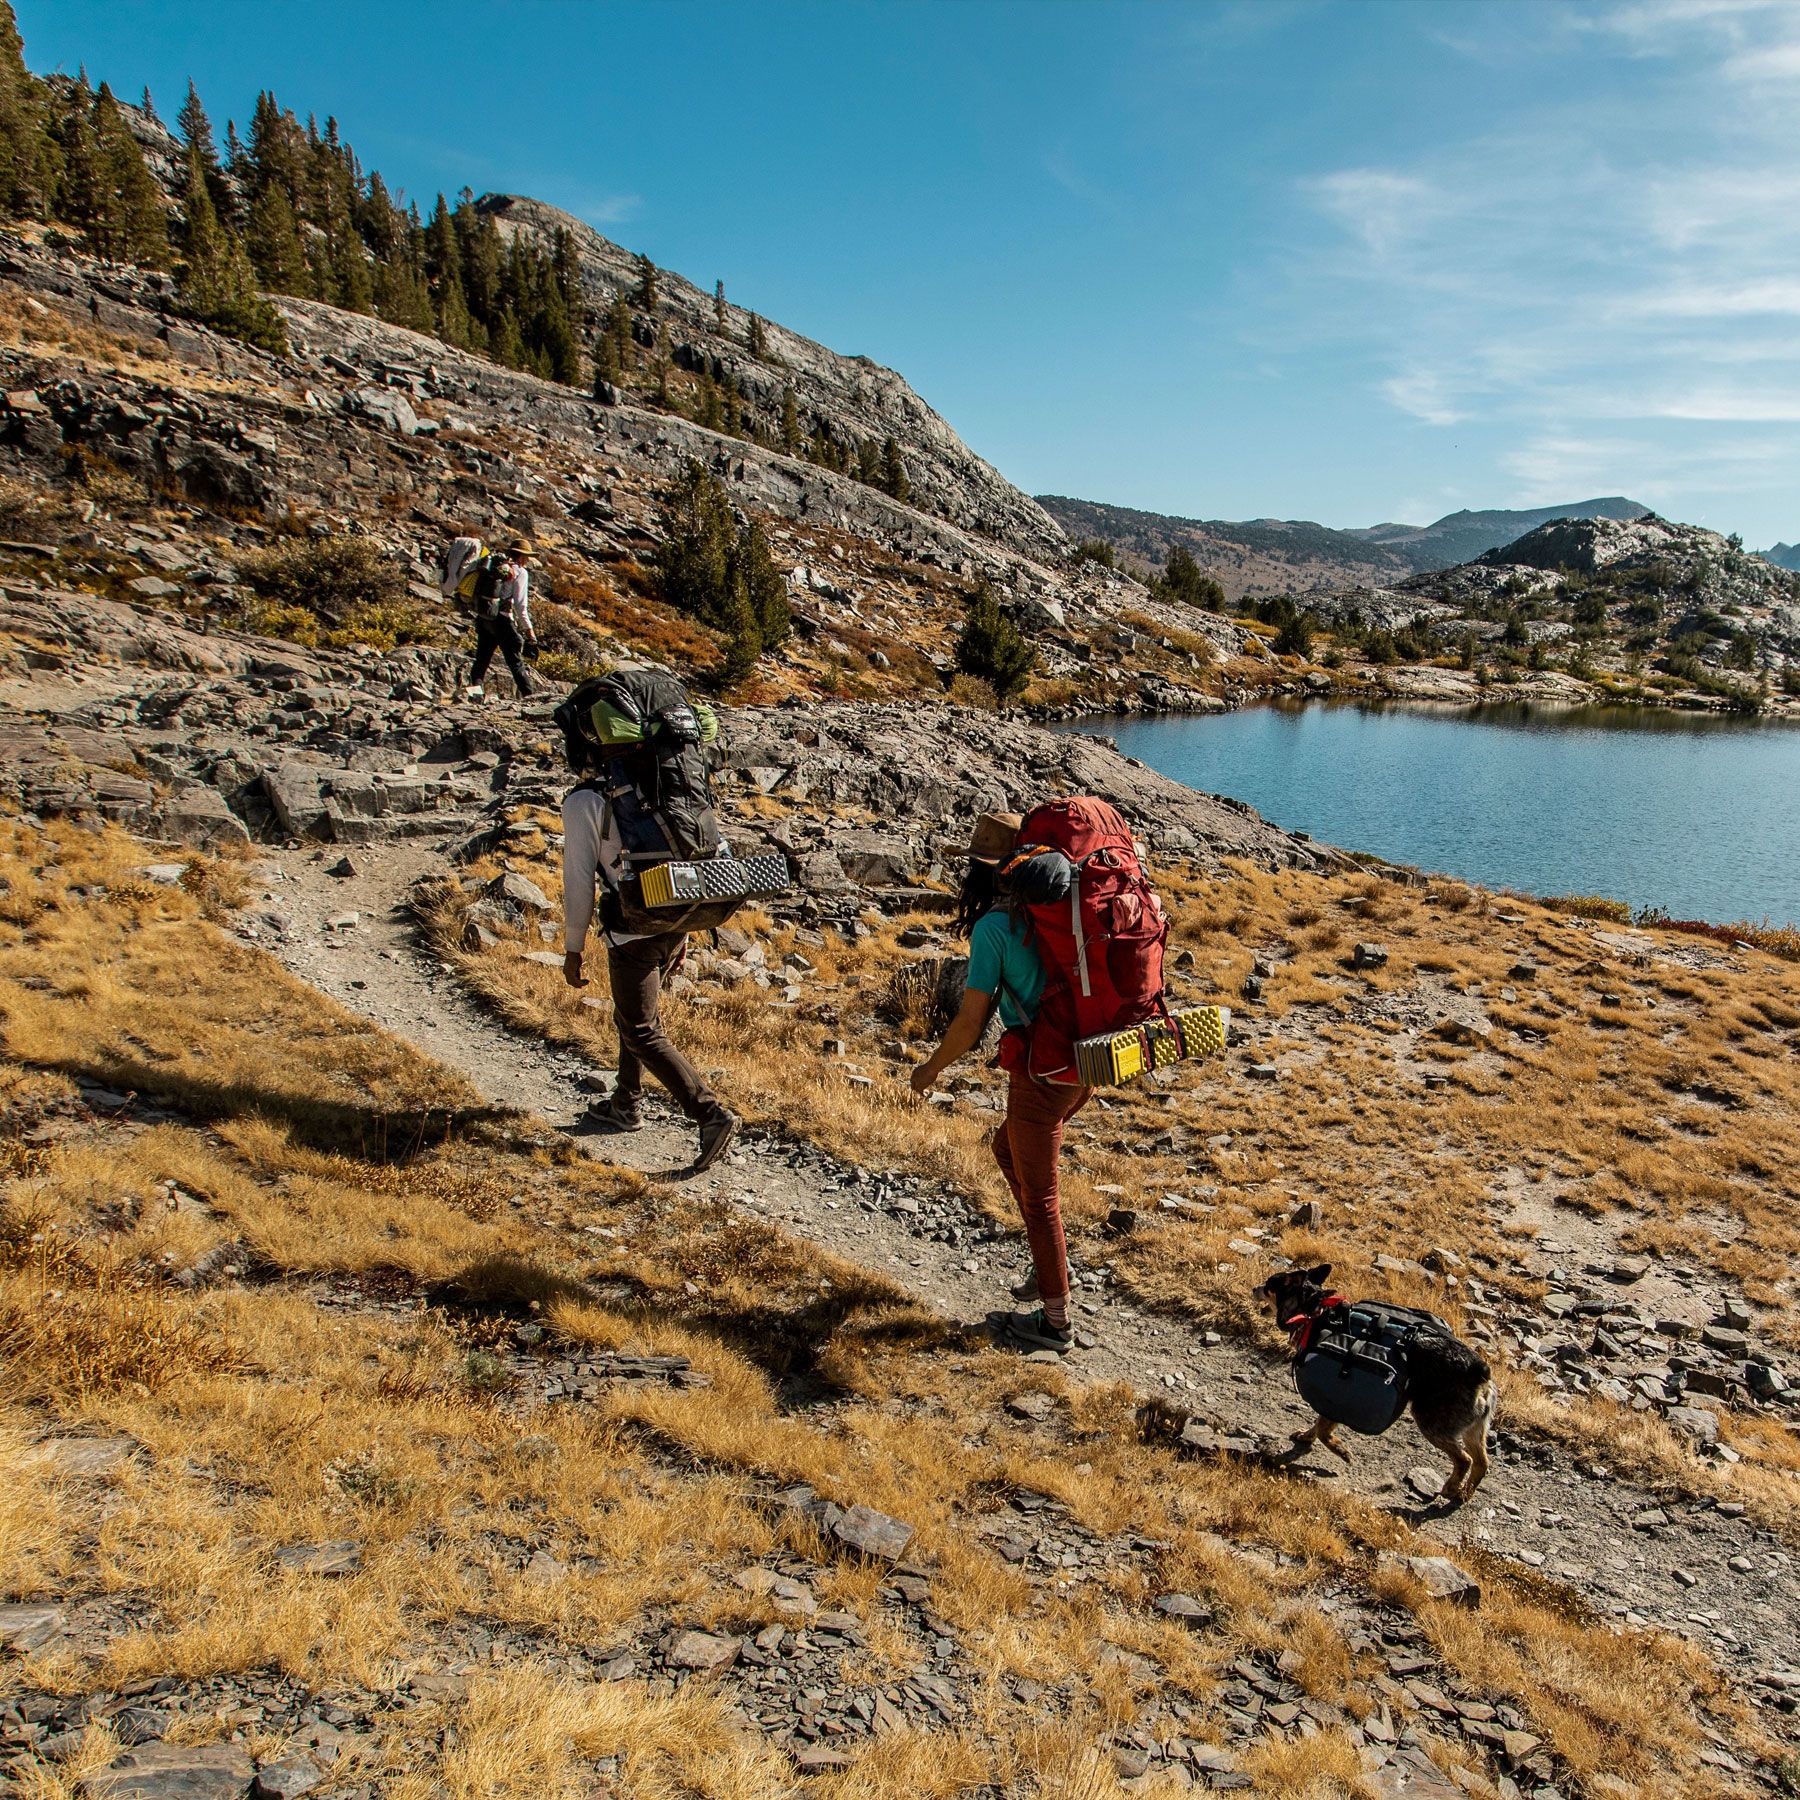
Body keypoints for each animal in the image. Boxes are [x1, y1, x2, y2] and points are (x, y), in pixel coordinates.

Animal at [1260, 1267, 1497, 1504]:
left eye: (1270, 1285)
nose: (1255, 1288)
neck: (1315, 1313)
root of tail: (1480, 1373)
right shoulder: (1332, 1401)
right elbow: (1319, 1426)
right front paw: (1307, 1437)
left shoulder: (1332, 1396)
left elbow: (1323, 1431)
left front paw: (1341, 1451)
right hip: (1473, 1428)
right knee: (1482, 1462)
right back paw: (1464, 1494)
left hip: (1432, 1421)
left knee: (1464, 1460)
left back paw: (1450, 1488)